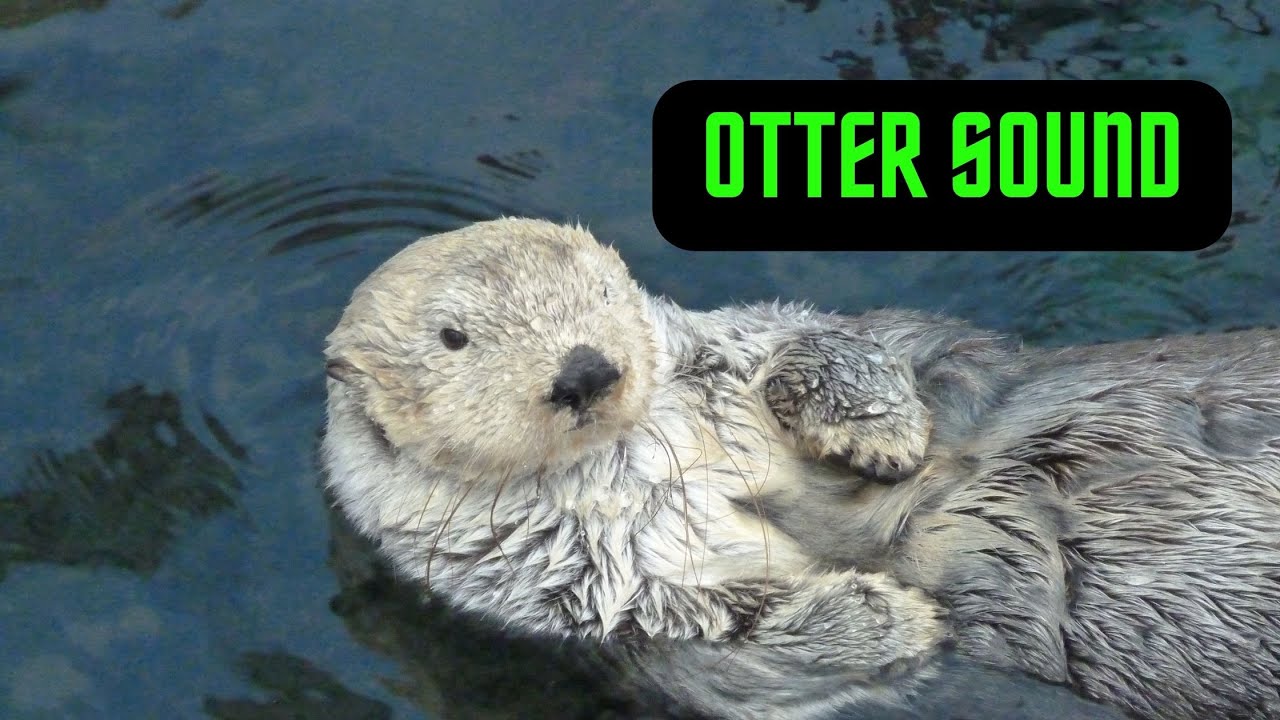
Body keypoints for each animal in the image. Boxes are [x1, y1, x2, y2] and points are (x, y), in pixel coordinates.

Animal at [320, 217, 957, 720]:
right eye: (453, 337)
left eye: (604, 292)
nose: (584, 372)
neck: (619, 454)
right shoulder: (531, 567)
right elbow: (683, 614)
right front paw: (882, 615)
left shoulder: (710, 344)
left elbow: (800, 336)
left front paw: (880, 428)